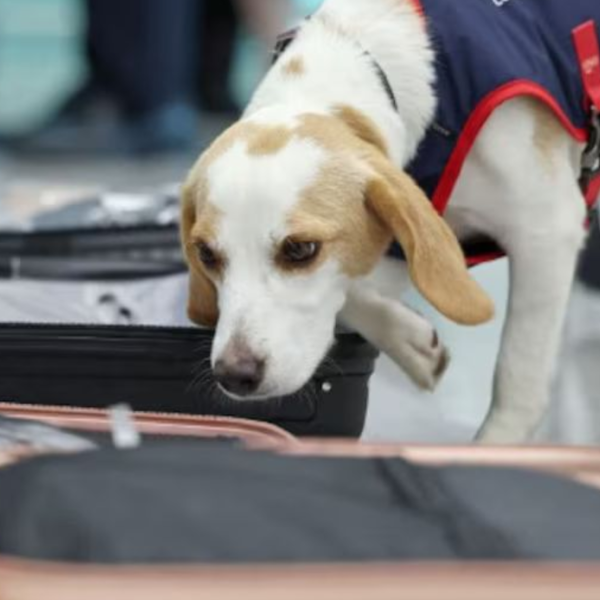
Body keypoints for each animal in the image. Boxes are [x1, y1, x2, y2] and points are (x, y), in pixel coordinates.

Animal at [183, 0, 600, 440]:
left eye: (300, 249)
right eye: (206, 255)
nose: (234, 374)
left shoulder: (547, 230)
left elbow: (518, 373)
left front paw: (496, 443)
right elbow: (353, 293)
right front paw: (410, 342)